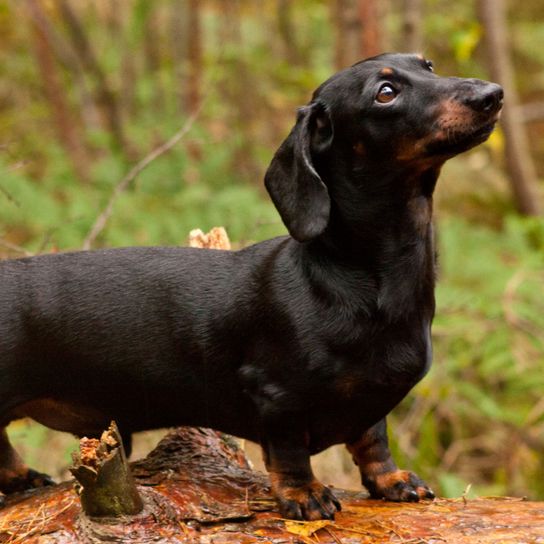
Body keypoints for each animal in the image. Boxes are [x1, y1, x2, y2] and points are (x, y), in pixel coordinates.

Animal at [0, 54, 502, 520]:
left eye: (428, 65)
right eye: (385, 93)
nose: (492, 93)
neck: (356, 277)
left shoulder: (372, 399)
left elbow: (372, 438)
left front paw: (391, 480)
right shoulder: (277, 397)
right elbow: (290, 453)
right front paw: (304, 494)